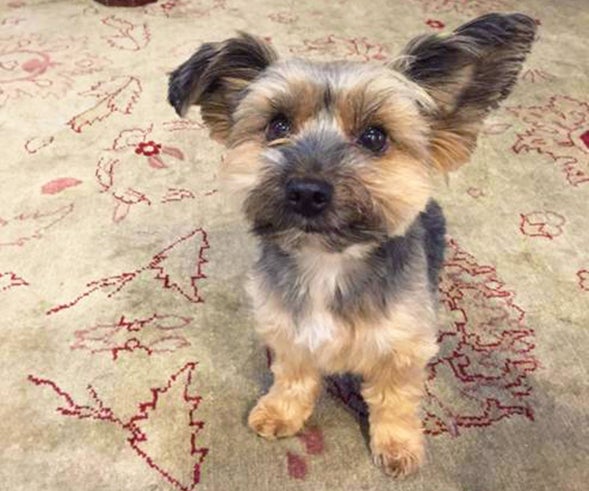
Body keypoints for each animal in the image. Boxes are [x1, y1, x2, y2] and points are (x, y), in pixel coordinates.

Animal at [168, 13, 536, 477]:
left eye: (375, 137)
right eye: (277, 126)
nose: (307, 191)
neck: (328, 262)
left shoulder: (402, 348)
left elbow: (394, 400)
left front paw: (397, 445)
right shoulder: (288, 329)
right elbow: (293, 376)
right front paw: (281, 411)